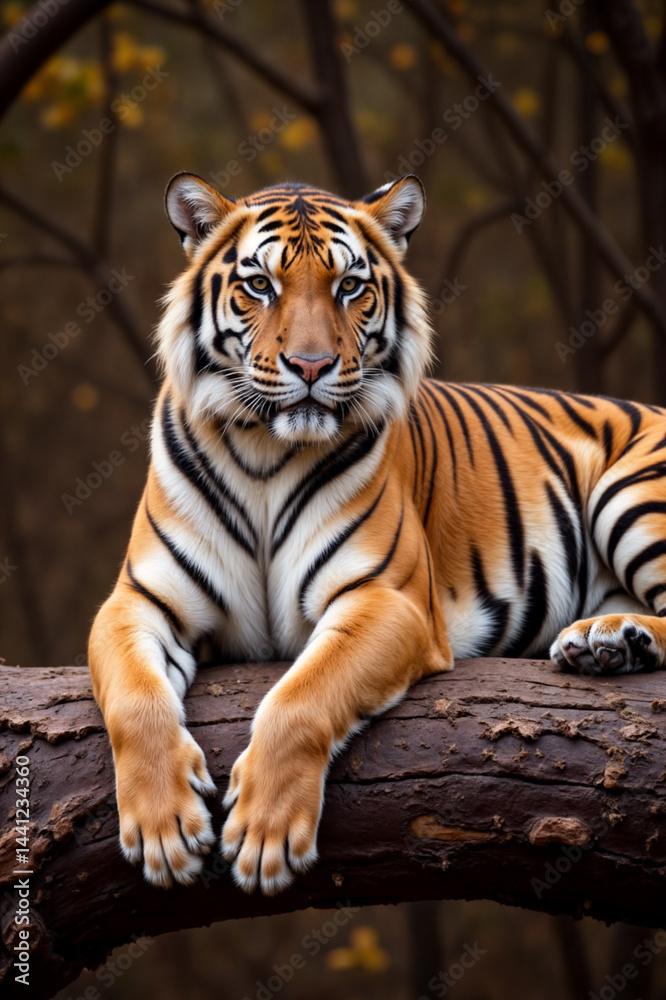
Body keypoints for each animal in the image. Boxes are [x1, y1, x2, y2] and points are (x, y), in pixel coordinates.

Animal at [89, 171, 666, 897]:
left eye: (348, 287)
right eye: (261, 285)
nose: (310, 365)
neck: (264, 454)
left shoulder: (387, 600)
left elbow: (302, 697)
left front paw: (264, 836)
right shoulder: (137, 601)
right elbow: (135, 700)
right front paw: (165, 832)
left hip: (633, 493)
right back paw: (603, 642)